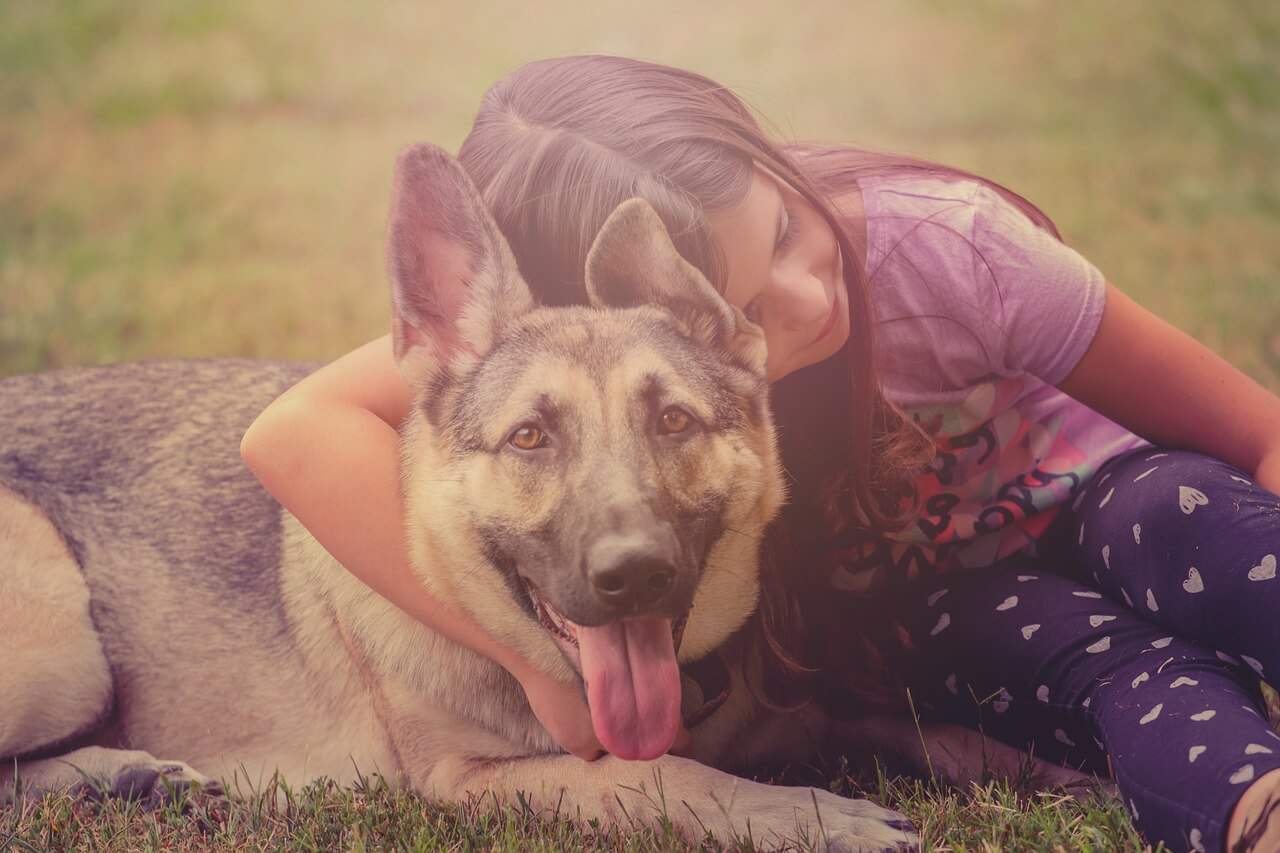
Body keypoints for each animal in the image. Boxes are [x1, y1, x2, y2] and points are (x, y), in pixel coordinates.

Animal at [0, 142, 931, 845]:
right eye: (529, 437)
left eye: (672, 420)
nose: (633, 574)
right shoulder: (474, 778)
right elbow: (658, 773)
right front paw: (806, 813)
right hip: (63, 636)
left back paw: (125, 775)